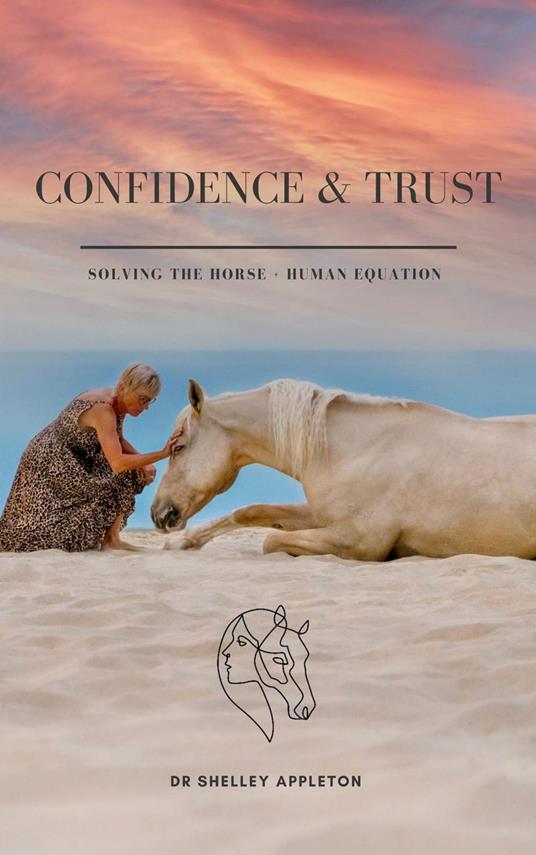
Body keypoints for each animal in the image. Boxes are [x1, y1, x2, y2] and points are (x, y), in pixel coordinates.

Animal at [151, 378, 536, 560]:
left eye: (179, 448)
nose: (158, 514)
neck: (356, 449)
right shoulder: (321, 515)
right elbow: (251, 512)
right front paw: (184, 543)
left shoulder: (357, 540)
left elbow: (271, 539)